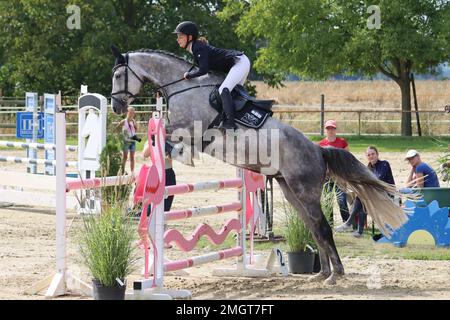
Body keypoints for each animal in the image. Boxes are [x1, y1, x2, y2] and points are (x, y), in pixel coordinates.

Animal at [110, 47, 408, 282]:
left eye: (117, 75)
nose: (115, 107)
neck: (182, 86)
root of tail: (318, 150)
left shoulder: (191, 129)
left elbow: (166, 134)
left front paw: (176, 153)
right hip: (290, 189)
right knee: (314, 227)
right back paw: (322, 273)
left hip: (305, 190)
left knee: (322, 227)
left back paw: (335, 275)